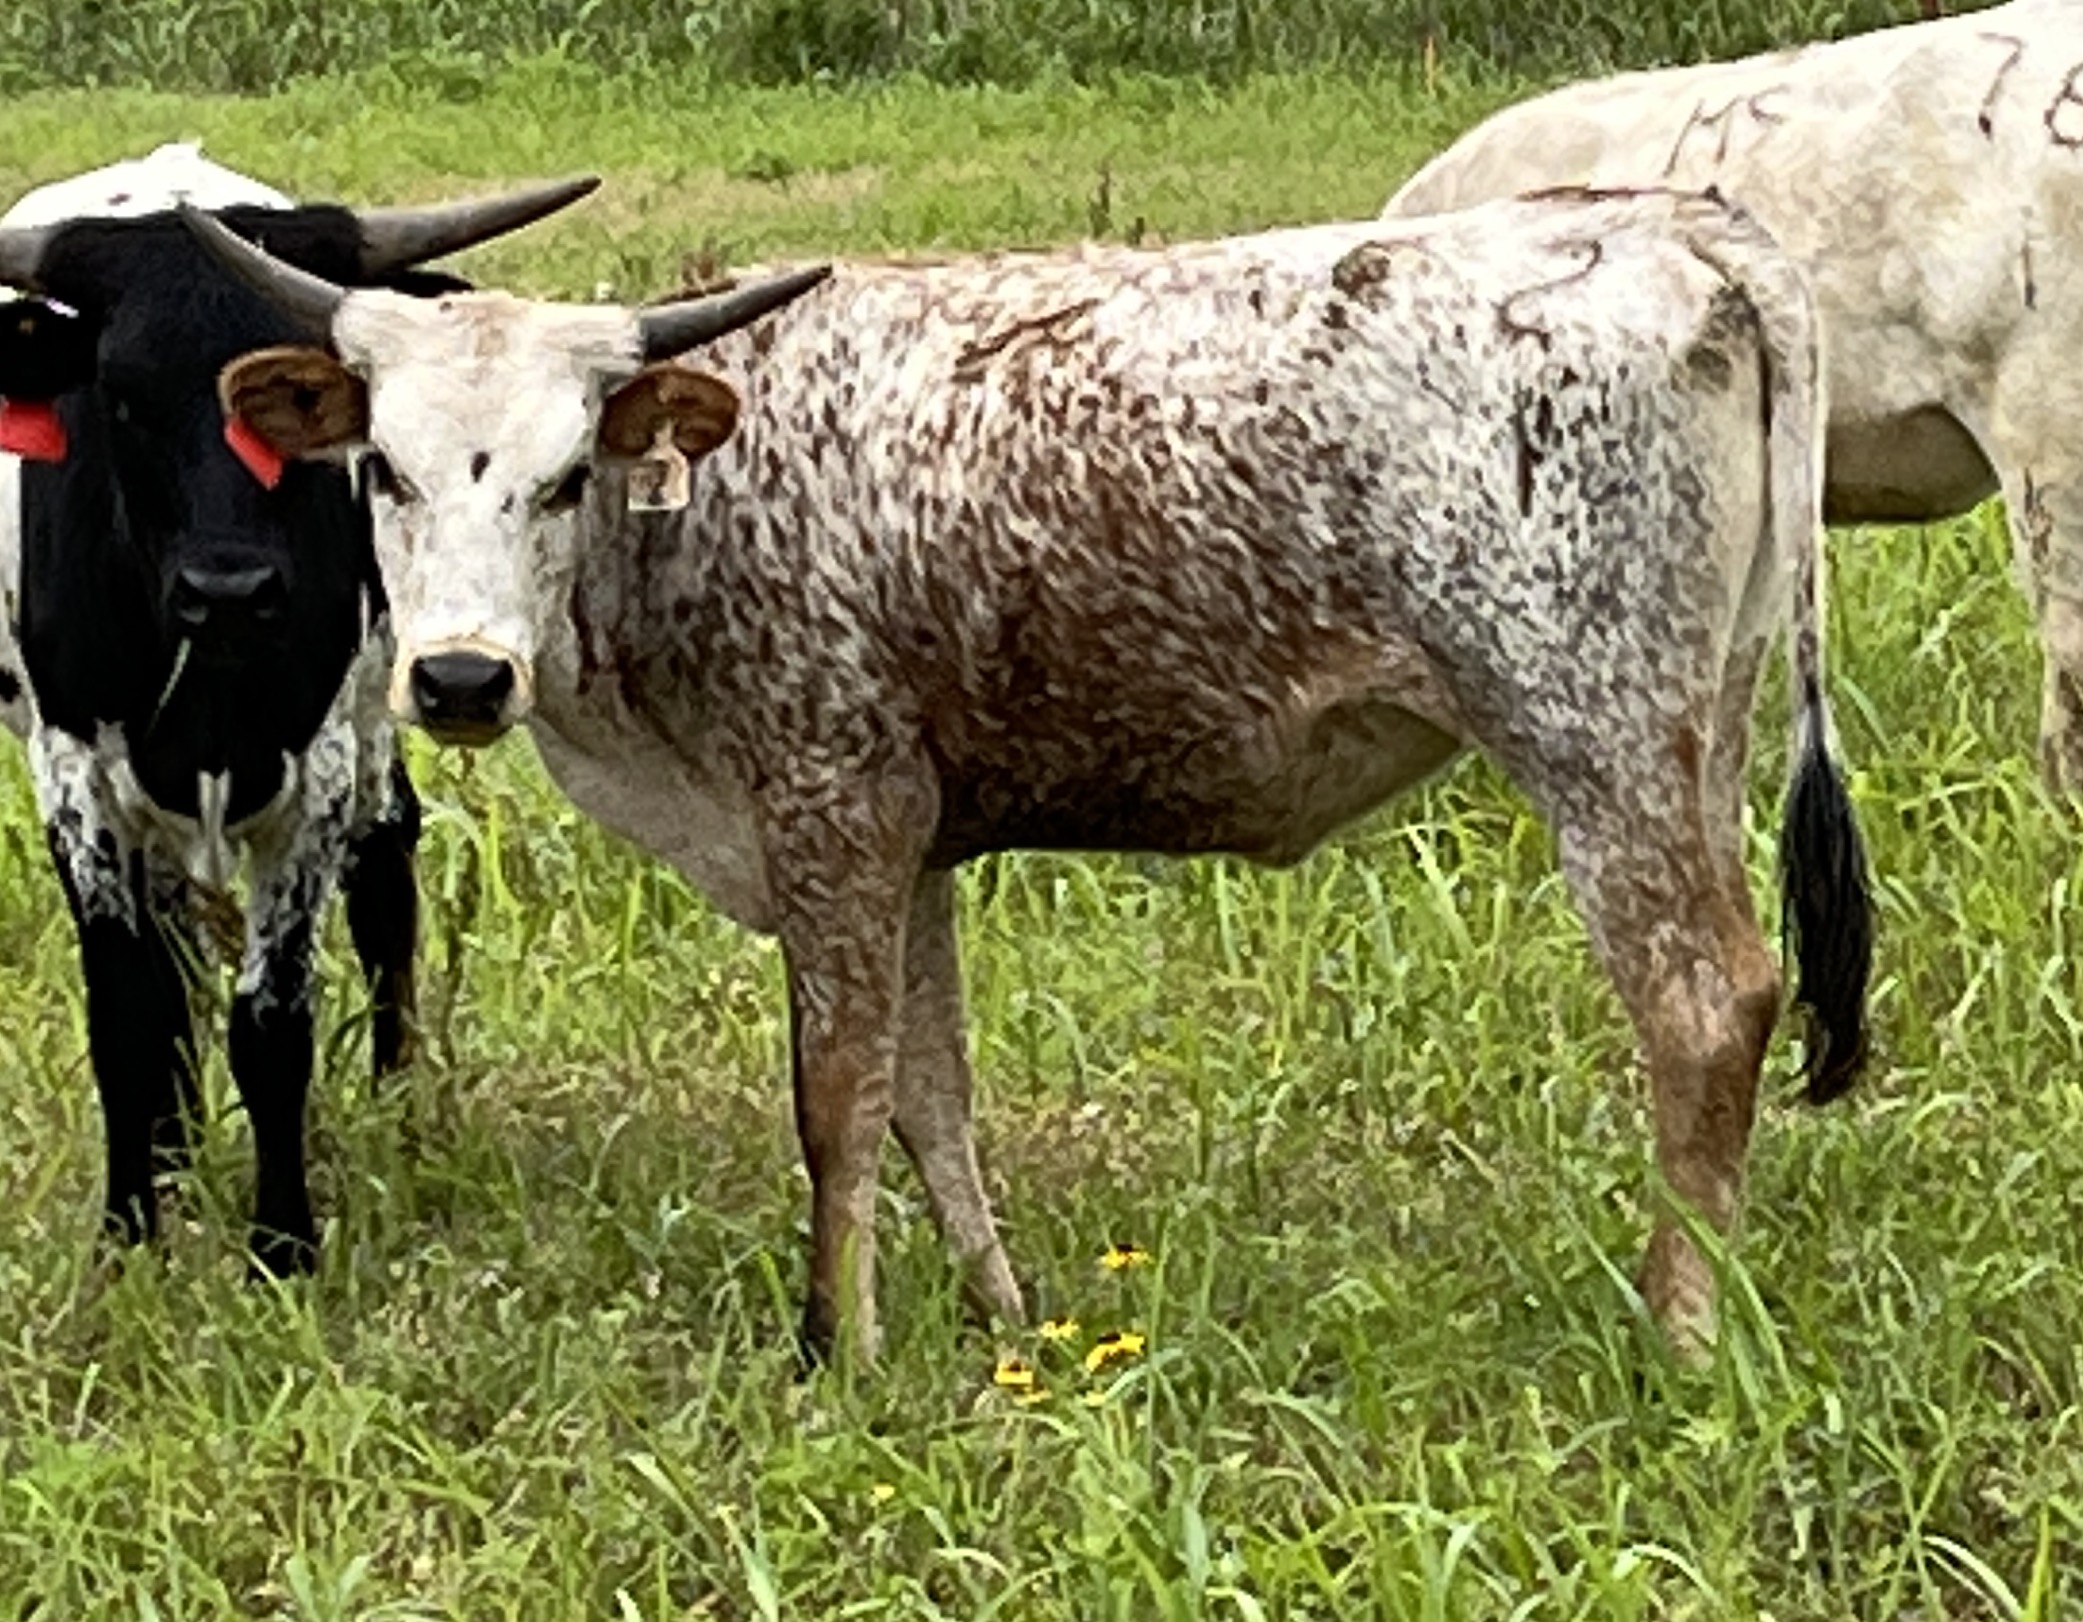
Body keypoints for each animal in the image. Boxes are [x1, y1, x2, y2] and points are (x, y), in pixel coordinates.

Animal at [0, 175, 597, 1275]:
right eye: (118, 393)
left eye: (302, 402)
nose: (229, 590)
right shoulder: (75, 777)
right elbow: (129, 1009)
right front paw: (130, 1230)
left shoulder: (314, 773)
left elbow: (272, 1022)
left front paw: (282, 1246)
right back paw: (176, 1144)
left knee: (387, 866)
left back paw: (399, 1101)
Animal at [186, 184, 1876, 1361]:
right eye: (385, 469)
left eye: (561, 477)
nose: (460, 676)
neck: (716, 494)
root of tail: (1670, 220)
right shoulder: (914, 838)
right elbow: (932, 1095)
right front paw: (997, 1314)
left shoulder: (833, 809)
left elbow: (838, 1096)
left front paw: (835, 1346)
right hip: (1697, 736)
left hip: (1592, 742)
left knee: (1706, 1005)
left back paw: (1677, 1335)